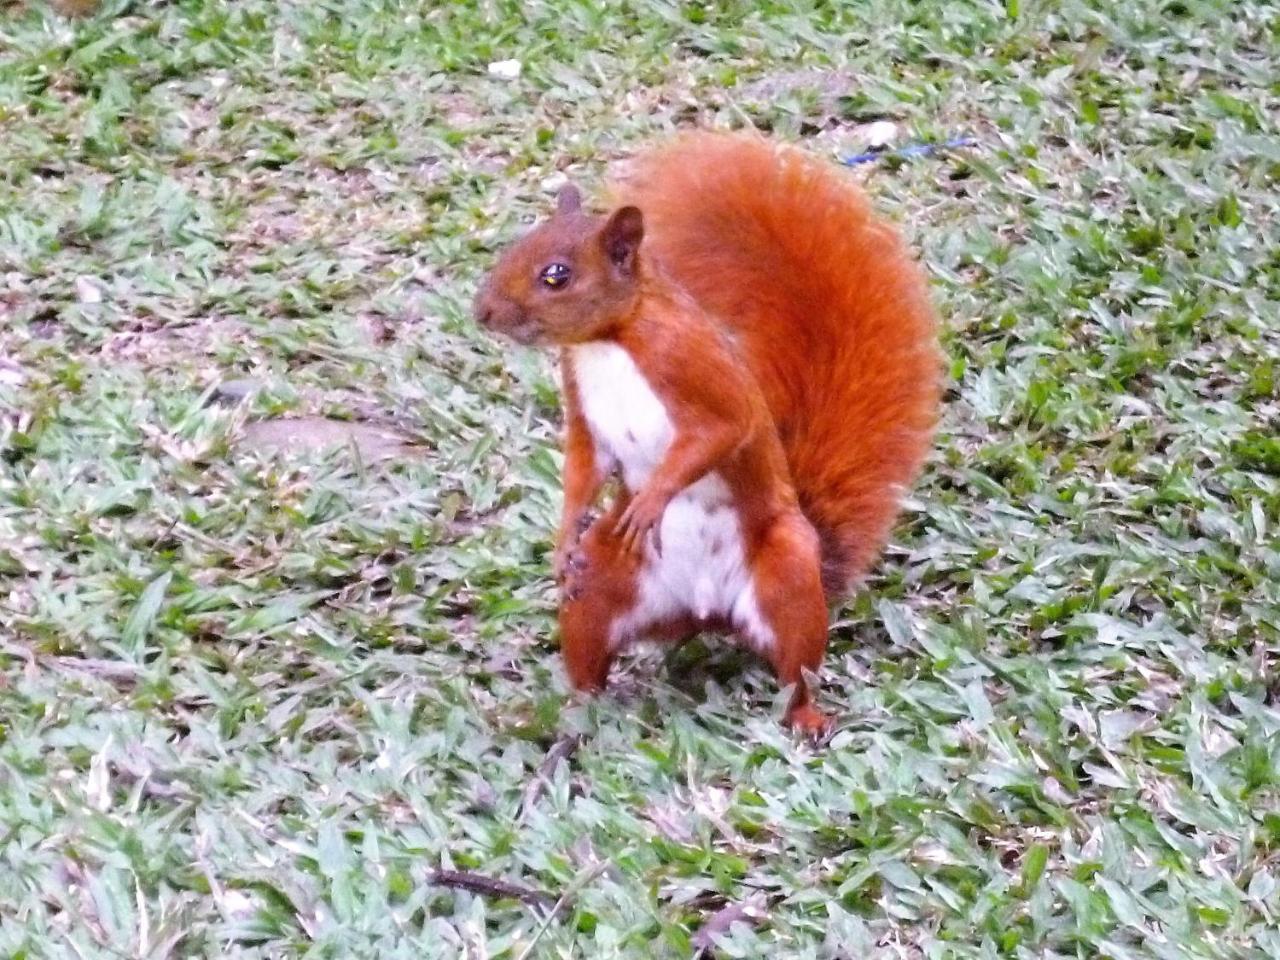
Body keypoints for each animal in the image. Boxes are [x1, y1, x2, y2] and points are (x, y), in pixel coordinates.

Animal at [473, 131, 942, 732]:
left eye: (557, 275)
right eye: (516, 247)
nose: (482, 313)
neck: (610, 338)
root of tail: (707, 612)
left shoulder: (695, 368)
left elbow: (721, 432)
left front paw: (652, 500)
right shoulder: (581, 401)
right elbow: (584, 465)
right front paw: (563, 541)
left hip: (788, 572)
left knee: (796, 669)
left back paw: (806, 718)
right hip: (602, 585)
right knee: (590, 657)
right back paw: (568, 716)